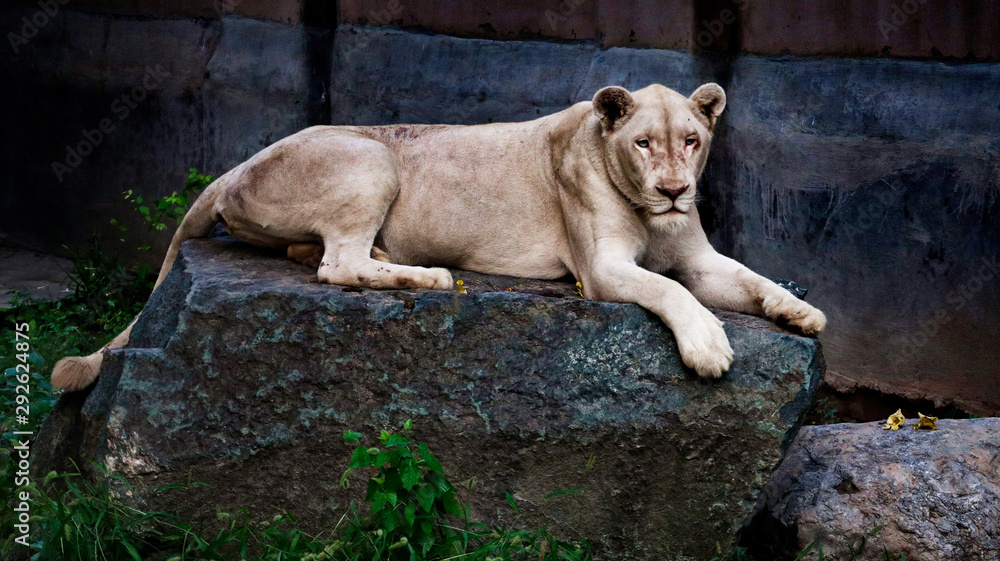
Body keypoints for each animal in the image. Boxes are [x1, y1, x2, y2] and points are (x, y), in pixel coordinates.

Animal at [51, 82, 825, 392]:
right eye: (642, 143)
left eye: (691, 140)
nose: (672, 189)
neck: (650, 213)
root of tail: (236, 162)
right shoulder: (600, 268)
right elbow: (670, 293)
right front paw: (709, 348)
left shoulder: (700, 255)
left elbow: (750, 278)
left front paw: (800, 312)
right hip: (372, 157)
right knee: (337, 266)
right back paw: (424, 275)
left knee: (318, 255)